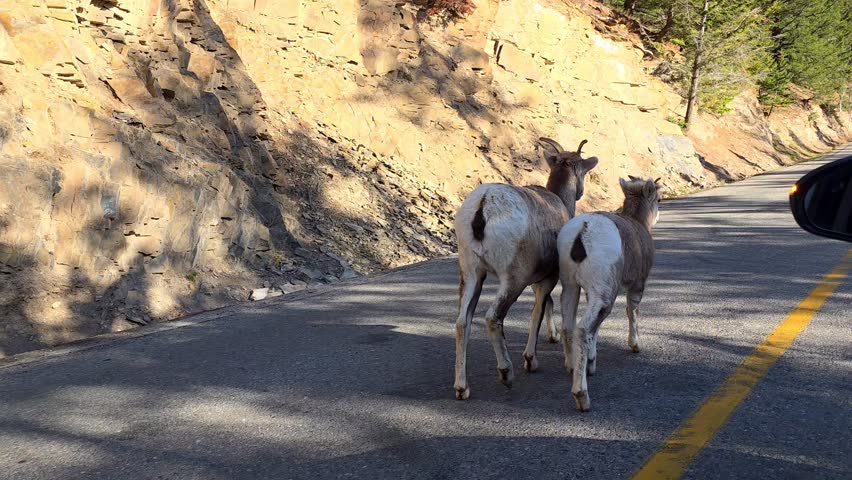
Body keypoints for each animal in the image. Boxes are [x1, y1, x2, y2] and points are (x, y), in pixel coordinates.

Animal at [453, 137, 599, 400]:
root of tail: (483, 205)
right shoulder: (548, 278)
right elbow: (537, 312)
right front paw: (531, 361)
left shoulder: (536, 280)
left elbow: (543, 307)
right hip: (512, 279)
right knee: (493, 318)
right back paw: (506, 373)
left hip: (471, 274)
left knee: (462, 322)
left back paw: (462, 388)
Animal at [556, 176, 661, 411]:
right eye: (658, 199)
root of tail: (583, 230)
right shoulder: (637, 286)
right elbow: (633, 313)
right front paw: (635, 346)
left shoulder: (588, 292)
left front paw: (592, 362)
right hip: (605, 297)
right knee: (583, 329)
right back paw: (582, 397)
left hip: (571, 286)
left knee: (568, 326)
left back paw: (571, 366)